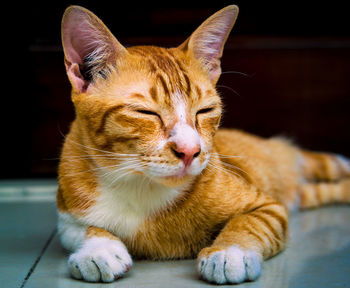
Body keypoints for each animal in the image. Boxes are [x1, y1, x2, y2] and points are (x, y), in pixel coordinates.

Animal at [56, 3, 350, 284]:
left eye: (205, 111)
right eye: (146, 113)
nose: (190, 151)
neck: (140, 186)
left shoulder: (269, 207)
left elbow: (248, 223)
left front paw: (230, 252)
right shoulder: (66, 212)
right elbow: (79, 229)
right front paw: (98, 249)